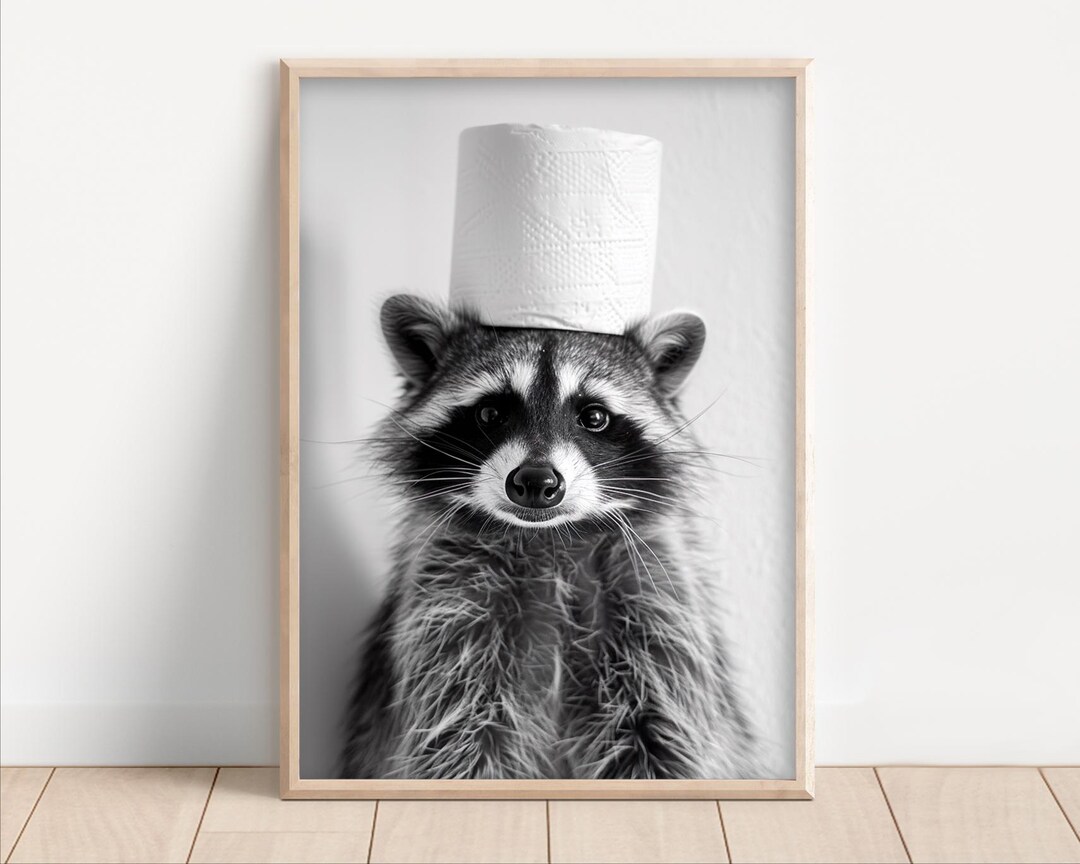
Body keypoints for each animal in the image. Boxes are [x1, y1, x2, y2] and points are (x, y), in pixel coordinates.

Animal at [339, 293, 758, 780]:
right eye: (490, 413)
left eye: (594, 416)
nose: (536, 481)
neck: (550, 538)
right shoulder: (448, 605)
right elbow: (459, 738)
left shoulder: (657, 600)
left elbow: (664, 737)